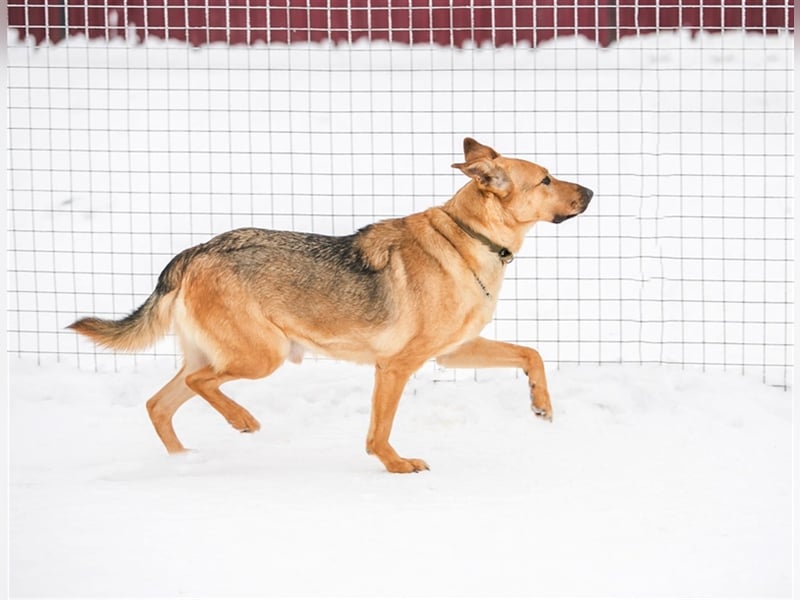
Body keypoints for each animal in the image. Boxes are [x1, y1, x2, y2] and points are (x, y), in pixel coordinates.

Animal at [70, 138, 592, 472]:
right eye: (546, 180)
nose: (590, 191)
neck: (470, 237)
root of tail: (196, 251)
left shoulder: (453, 352)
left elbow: (531, 354)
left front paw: (541, 405)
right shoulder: (395, 366)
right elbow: (379, 431)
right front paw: (395, 465)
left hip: (221, 354)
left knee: (159, 403)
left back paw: (184, 462)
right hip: (263, 355)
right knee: (198, 386)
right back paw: (242, 420)